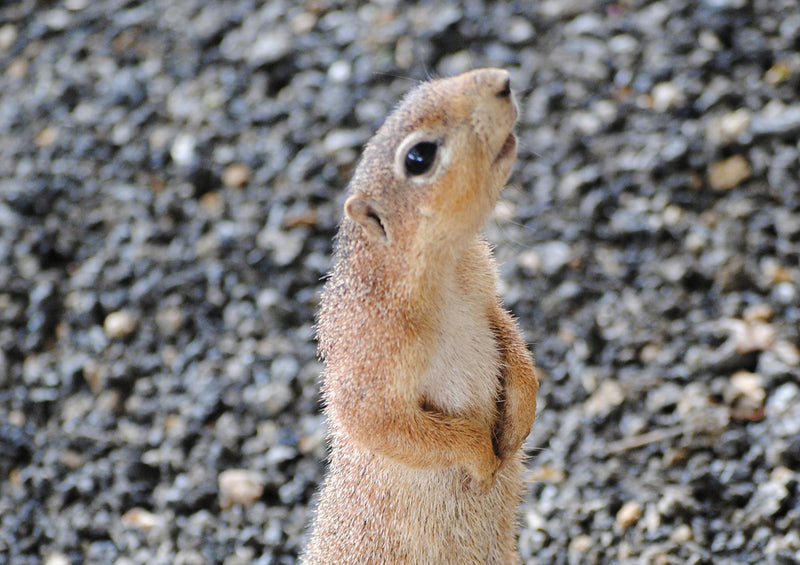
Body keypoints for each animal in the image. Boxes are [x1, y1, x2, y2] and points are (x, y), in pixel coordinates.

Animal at [304, 69, 540, 564]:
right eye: (419, 157)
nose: (503, 81)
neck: (445, 276)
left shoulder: (484, 288)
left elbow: (508, 332)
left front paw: (520, 419)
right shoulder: (371, 352)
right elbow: (384, 422)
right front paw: (482, 459)